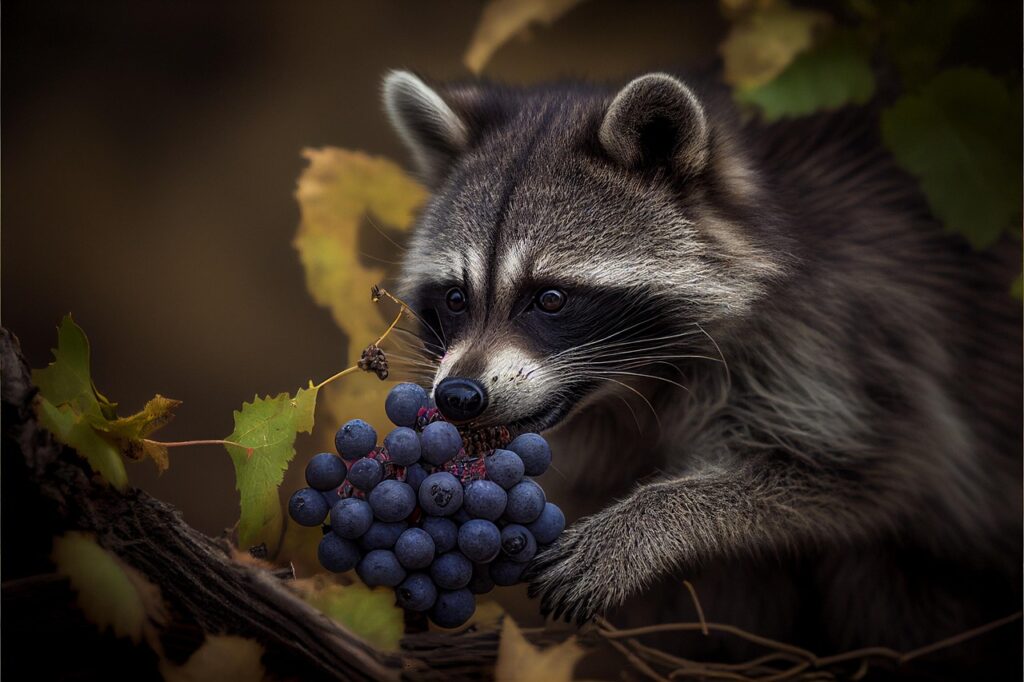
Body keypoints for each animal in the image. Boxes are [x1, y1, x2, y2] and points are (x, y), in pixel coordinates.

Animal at [382, 70, 1022, 670]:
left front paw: (652, 521)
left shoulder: (843, 333)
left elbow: (856, 472)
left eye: (551, 299)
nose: (459, 395)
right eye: (456, 298)